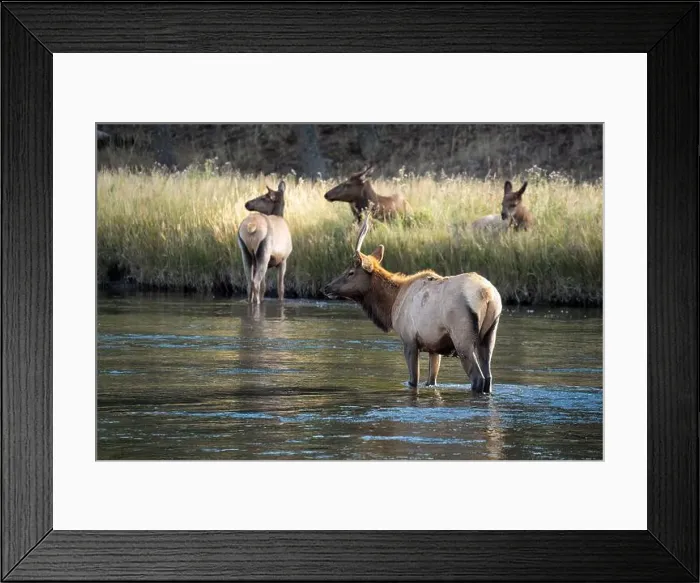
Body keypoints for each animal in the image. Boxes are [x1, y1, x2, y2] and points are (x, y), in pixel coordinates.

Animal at [323, 213, 502, 393]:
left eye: (351, 272)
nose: (326, 287)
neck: (392, 303)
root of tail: (487, 295)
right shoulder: (433, 347)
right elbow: (431, 380)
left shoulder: (409, 340)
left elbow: (413, 381)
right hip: (489, 335)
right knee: (488, 377)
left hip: (462, 337)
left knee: (478, 378)